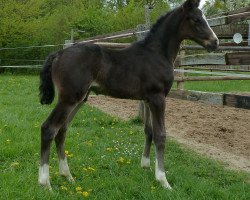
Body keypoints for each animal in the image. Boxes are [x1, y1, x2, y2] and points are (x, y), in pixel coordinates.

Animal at [37, 0, 219, 190]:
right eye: (196, 19)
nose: (215, 42)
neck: (157, 54)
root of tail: (59, 53)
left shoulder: (147, 100)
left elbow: (149, 131)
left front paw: (145, 166)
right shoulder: (158, 98)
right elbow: (161, 135)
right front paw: (163, 180)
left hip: (80, 99)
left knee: (61, 130)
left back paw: (67, 176)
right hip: (69, 98)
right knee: (48, 128)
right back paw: (45, 183)